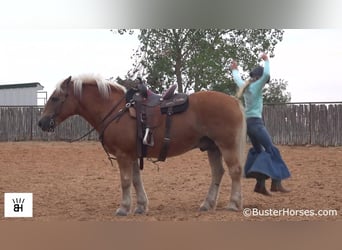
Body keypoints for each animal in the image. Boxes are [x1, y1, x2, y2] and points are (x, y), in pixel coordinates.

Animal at [38, 74, 246, 217]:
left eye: (55, 98)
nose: (41, 122)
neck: (115, 109)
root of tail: (234, 101)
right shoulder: (132, 155)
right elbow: (136, 180)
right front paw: (140, 206)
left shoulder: (123, 155)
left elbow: (125, 181)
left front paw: (123, 208)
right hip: (212, 147)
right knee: (218, 172)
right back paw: (207, 204)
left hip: (226, 146)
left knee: (235, 171)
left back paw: (233, 203)